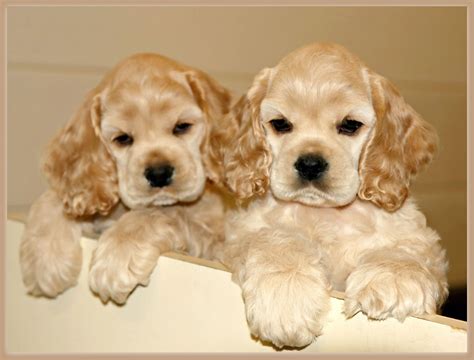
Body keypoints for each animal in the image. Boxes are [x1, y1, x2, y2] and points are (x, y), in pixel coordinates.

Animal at [20, 53, 231, 306]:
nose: (159, 173)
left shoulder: (212, 238)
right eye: (122, 138)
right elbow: (55, 198)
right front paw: (44, 260)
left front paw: (116, 258)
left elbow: (161, 213)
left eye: (182, 127)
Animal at [218, 43, 448, 348]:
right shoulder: (242, 234)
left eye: (350, 125)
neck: (325, 213)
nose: (310, 164)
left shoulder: (418, 237)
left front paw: (394, 279)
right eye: (280, 124)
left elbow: (405, 247)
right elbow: (275, 239)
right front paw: (287, 295)